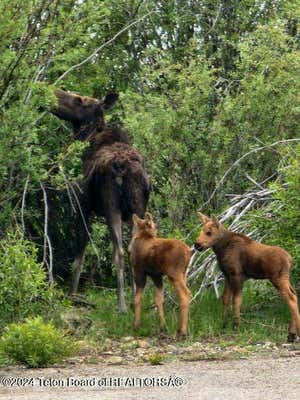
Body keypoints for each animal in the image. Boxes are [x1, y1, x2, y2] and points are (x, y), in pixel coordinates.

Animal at [51, 88, 151, 312]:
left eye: (80, 100)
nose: (55, 94)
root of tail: (126, 171)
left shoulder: (83, 205)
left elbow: (79, 255)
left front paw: (72, 294)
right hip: (138, 209)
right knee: (133, 250)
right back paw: (135, 301)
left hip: (112, 208)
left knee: (119, 252)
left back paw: (121, 305)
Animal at [195, 214, 300, 342]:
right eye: (201, 230)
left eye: (209, 232)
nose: (197, 245)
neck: (221, 249)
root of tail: (290, 259)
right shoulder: (227, 275)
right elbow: (225, 299)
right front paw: (223, 324)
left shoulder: (236, 275)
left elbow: (236, 301)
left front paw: (236, 326)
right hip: (285, 278)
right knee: (295, 294)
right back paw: (291, 334)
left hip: (277, 278)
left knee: (291, 298)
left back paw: (294, 332)